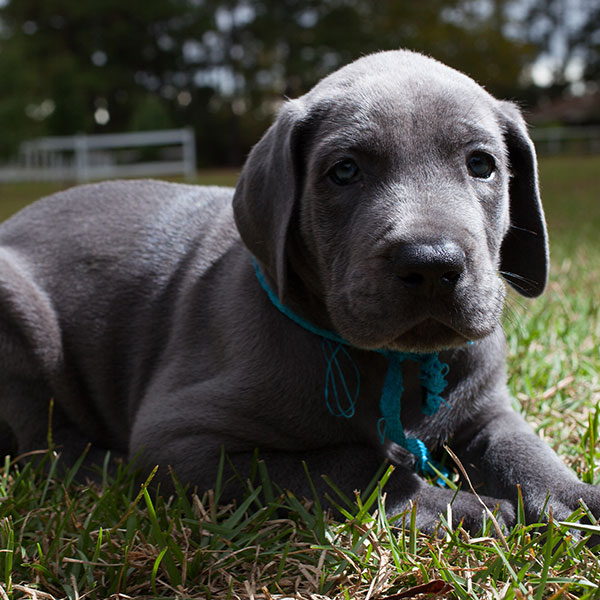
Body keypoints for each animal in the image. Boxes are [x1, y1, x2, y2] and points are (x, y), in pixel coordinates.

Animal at [1, 49, 600, 532]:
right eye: (344, 171)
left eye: (482, 164)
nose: (432, 264)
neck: (395, 366)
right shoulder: (181, 442)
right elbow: (348, 467)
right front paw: (468, 509)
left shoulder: (488, 412)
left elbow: (527, 455)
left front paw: (577, 502)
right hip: (22, 320)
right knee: (43, 440)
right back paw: (99, 469)